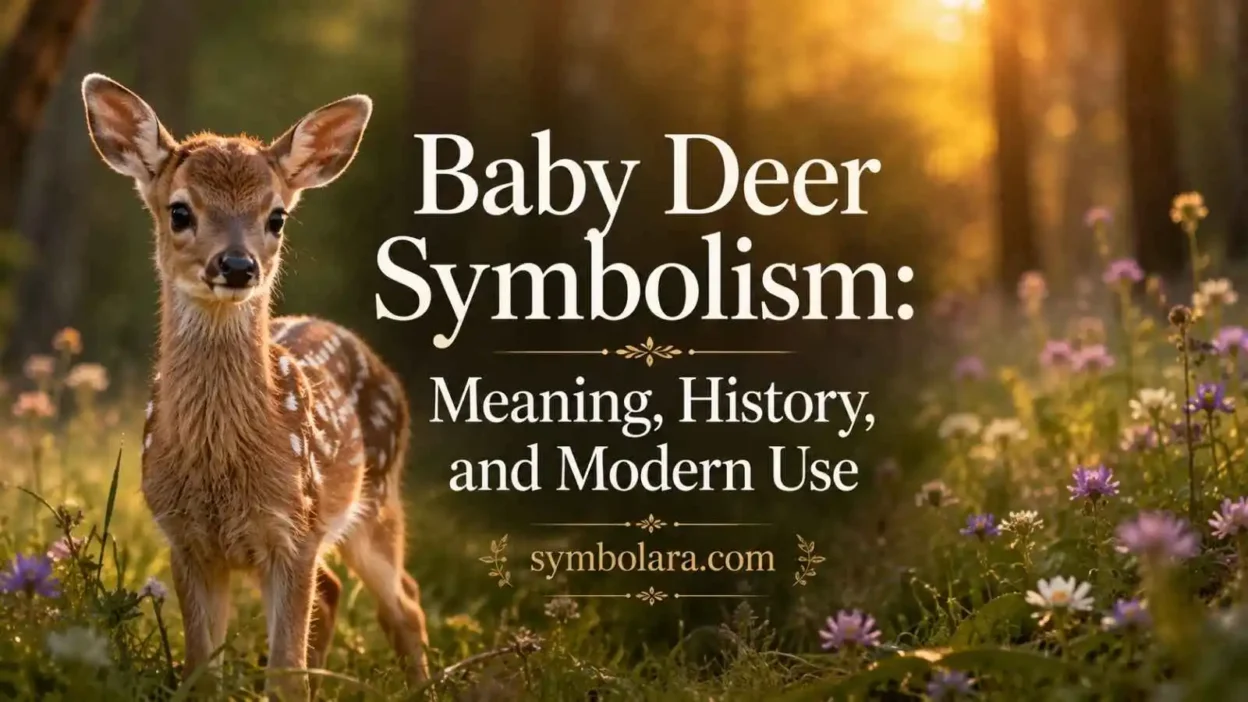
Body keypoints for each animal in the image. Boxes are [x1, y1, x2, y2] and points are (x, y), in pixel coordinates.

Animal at [80, 73, 429, 700]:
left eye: (277, 217)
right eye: (179, 211)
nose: (238, 265)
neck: (224, 465)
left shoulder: (293, 531)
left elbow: (286, 676)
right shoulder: (186, 538)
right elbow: (200, 670)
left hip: (376, 499)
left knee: (404, 602)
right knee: (337, 589)